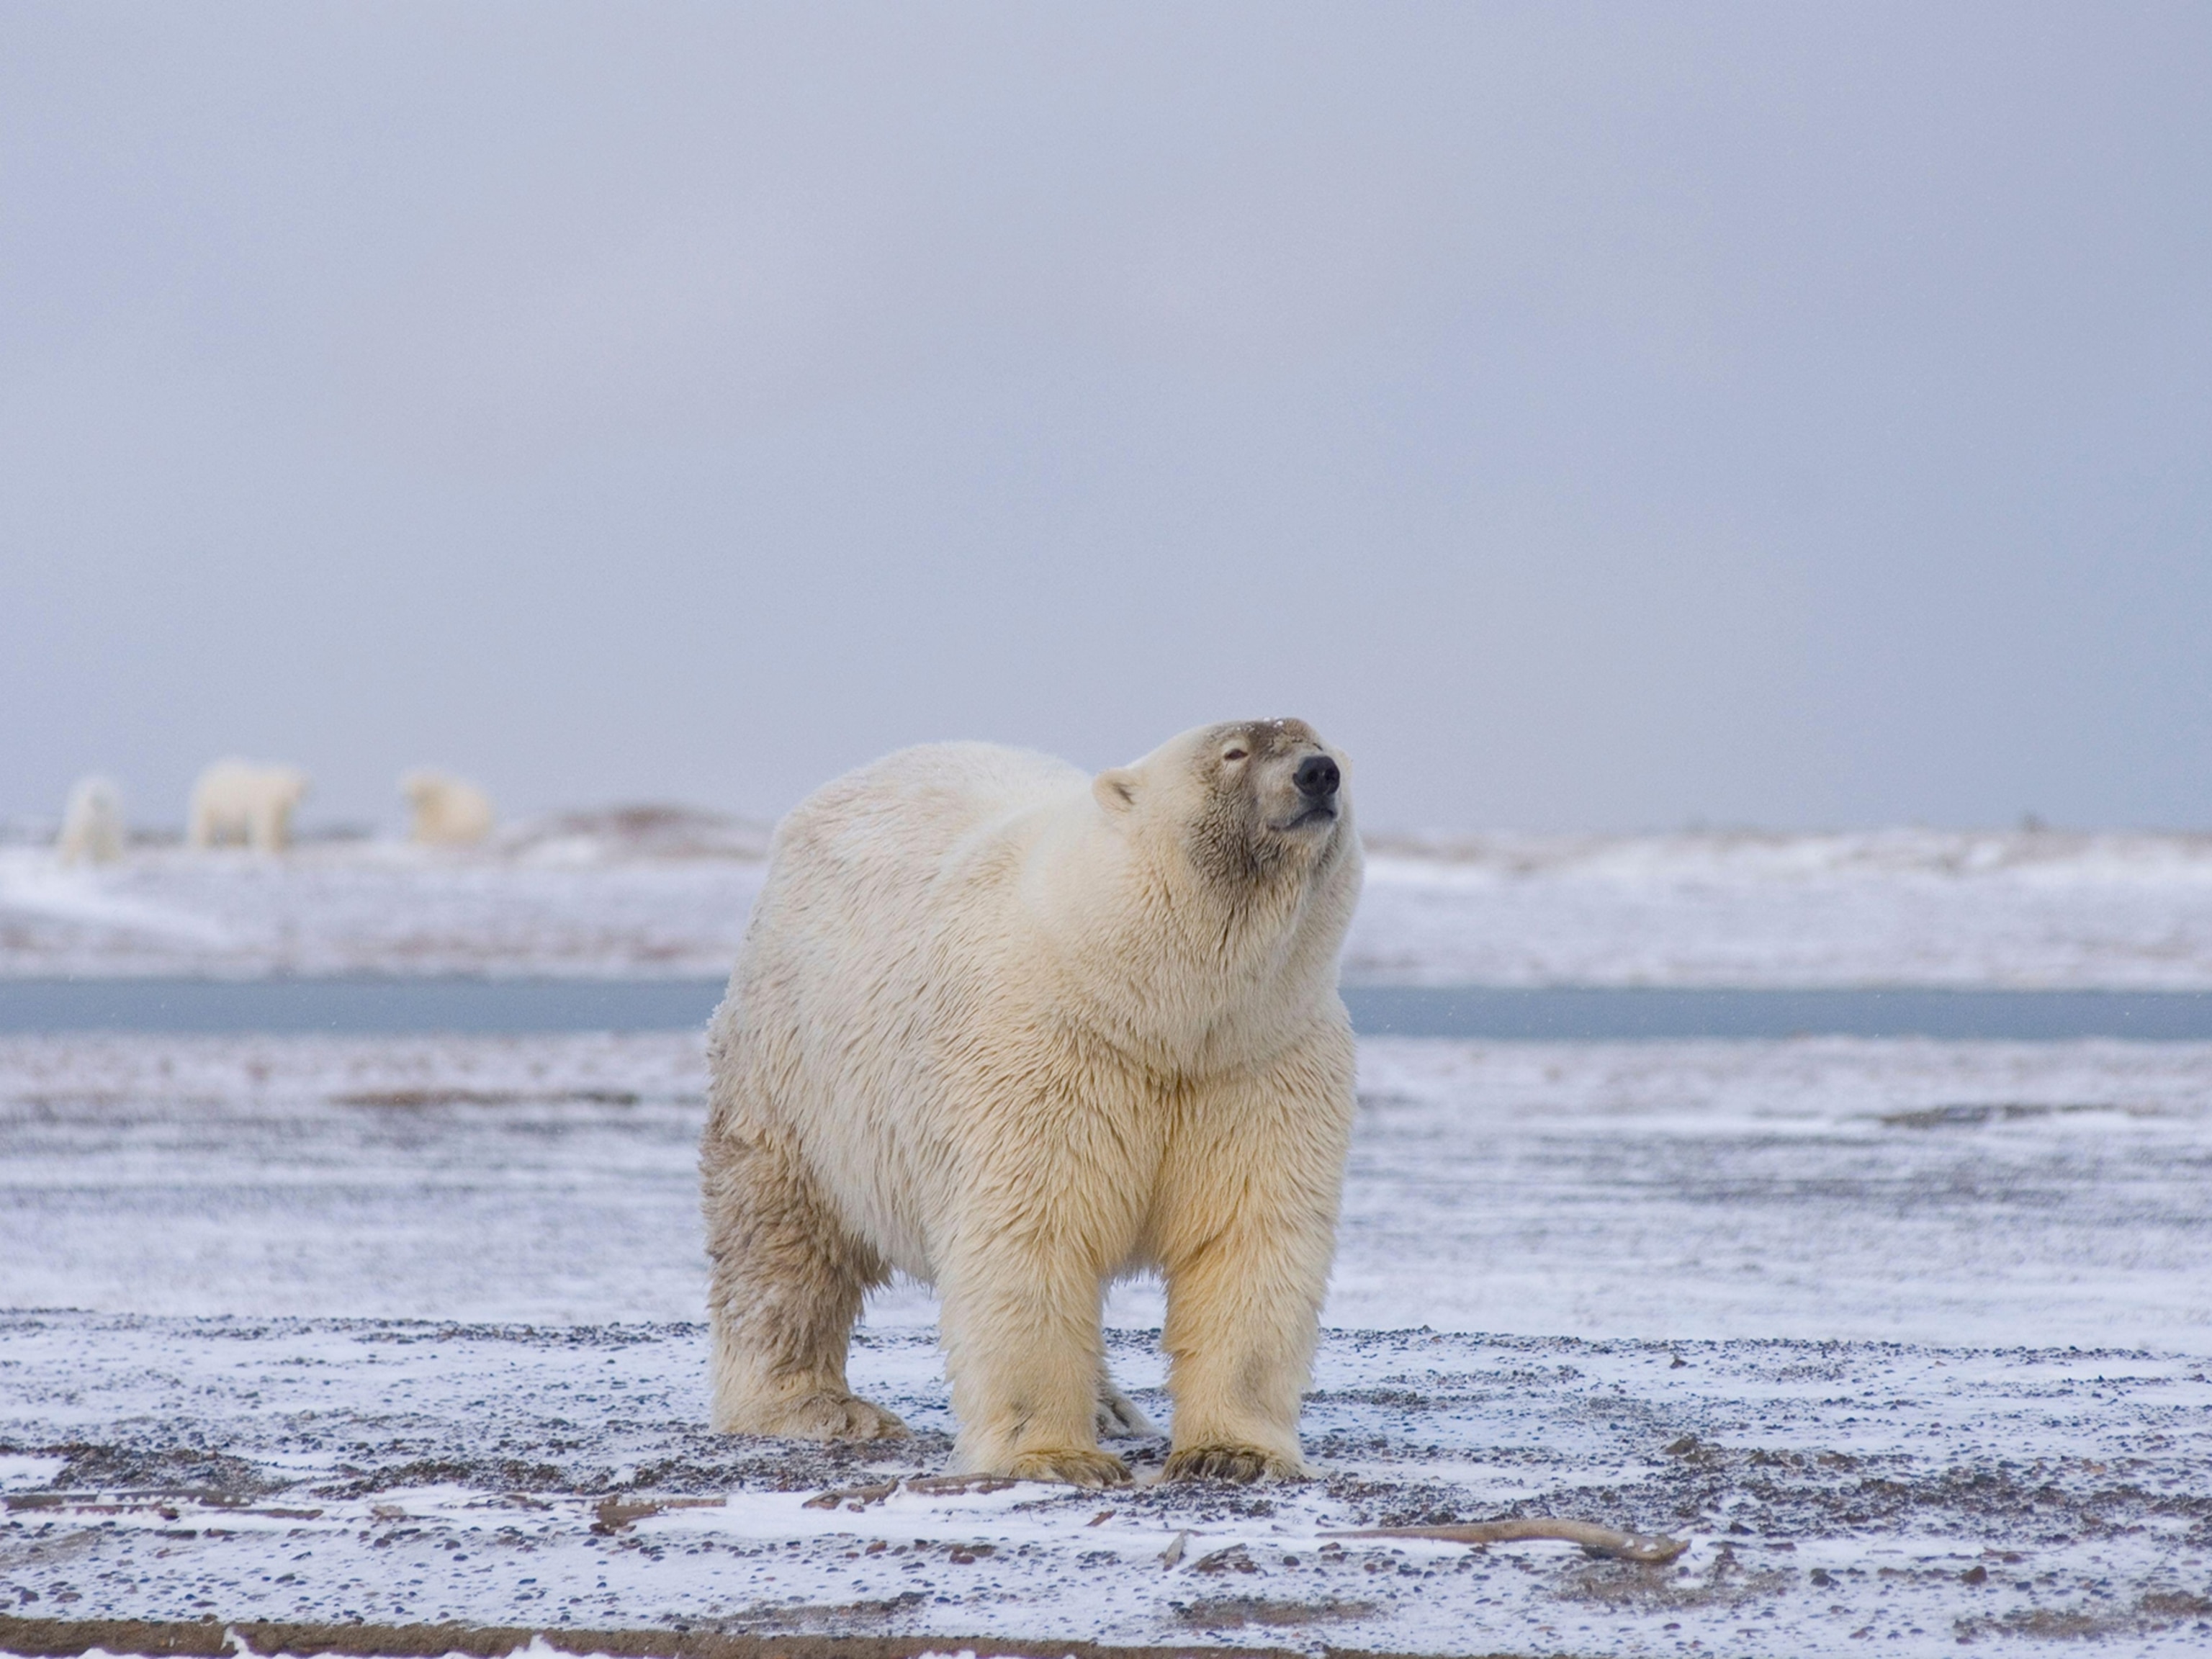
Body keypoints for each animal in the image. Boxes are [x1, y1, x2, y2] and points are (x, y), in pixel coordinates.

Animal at [189, 760, 312, 849]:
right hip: (209, 801)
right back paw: (200, 844)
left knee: (233, 826)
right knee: (204, 823)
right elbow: (265, 823)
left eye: (301, 790)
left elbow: (280, 823)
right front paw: (269, 845)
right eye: (292, 789)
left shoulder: (281, 809)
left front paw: (282, 842)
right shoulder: (265, 803)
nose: (297, 801)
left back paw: (234, 843)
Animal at [703, 721, 1362, 1486]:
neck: (1151, 1006)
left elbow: (1247, 1237)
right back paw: (814, 1406)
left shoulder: (1260, 1064)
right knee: (781, 1236)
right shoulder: (1041, 1052)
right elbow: (1034, 1232)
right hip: (795, 1065)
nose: (1318, 775)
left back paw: (1114, 1409)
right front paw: (1055, 1457)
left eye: (1324, 744)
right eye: (1235, 751)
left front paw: (1233, 1454)